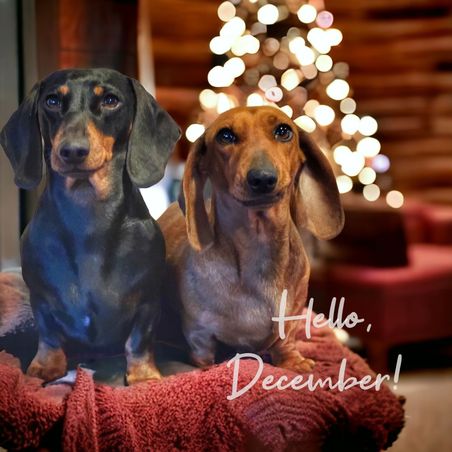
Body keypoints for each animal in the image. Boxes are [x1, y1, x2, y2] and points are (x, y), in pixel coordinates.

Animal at [0, 68, 180, 384]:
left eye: (110, 100)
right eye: (51, 100)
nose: (72, 151)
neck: (88, 219)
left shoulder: (148, 302)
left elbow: (139, 340)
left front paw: (144, 374)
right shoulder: (40, 299)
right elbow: (49, 334)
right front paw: (45, 366)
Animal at [158, 106, 344, 372]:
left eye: (284, 131)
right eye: (225, 136)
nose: (263, 178)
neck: (258, 244)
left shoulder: (291, 318)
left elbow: (285, 340)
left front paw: (294, 362)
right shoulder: (199, 332)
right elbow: (203, 355)